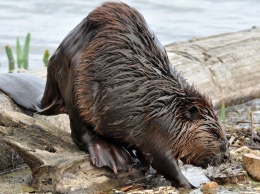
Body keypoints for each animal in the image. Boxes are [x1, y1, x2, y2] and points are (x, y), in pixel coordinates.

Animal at [0, 2, 228, 189]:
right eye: (215, 135)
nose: (226, 156)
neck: (167, 105)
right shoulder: (156, 129)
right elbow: (163, 160)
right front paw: (189, 184)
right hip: (74, 83)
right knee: (80, 131)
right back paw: (113, 155)